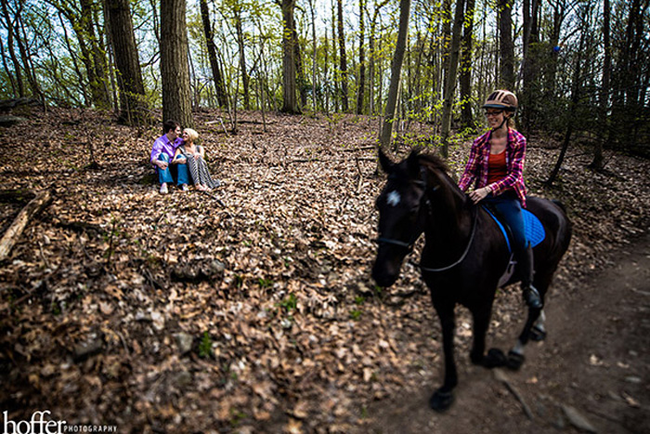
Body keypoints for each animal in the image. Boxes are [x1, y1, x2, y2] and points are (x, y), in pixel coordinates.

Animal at [372, 151, 568, 412]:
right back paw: (538, 329)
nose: (382, 273)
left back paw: (517, 350)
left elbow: (477, 352)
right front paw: (447, 388)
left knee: (536, 303)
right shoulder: (442, 301)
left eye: (413, 208)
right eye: (379, 203)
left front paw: (494, 357)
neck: (456, 243)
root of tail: (556, 206)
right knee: (538, 301)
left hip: (547, 270)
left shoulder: (483, 303)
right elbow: (447, 342)